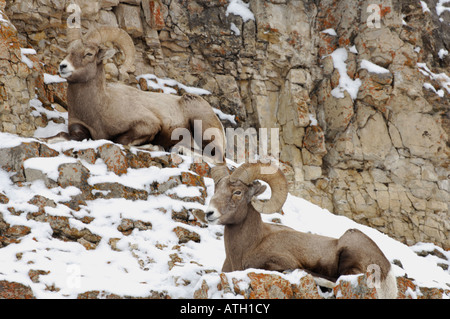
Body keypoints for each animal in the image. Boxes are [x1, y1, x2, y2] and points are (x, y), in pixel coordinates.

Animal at [52, 26, 225, 162]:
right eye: (69, 51)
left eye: (89, 54)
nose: (63, 66)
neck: (99, 107)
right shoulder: (78, 128)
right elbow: (62, 134)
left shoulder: (148, 125)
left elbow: (121, 140)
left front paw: (155, 147)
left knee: (216, 157)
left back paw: (179, 149)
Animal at [205, 162, 398, 300]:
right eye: (216, 190)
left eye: (237, 192)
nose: (209, 213)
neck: (249, 247)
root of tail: (387, 272)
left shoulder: (279, 262)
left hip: (350, 247)